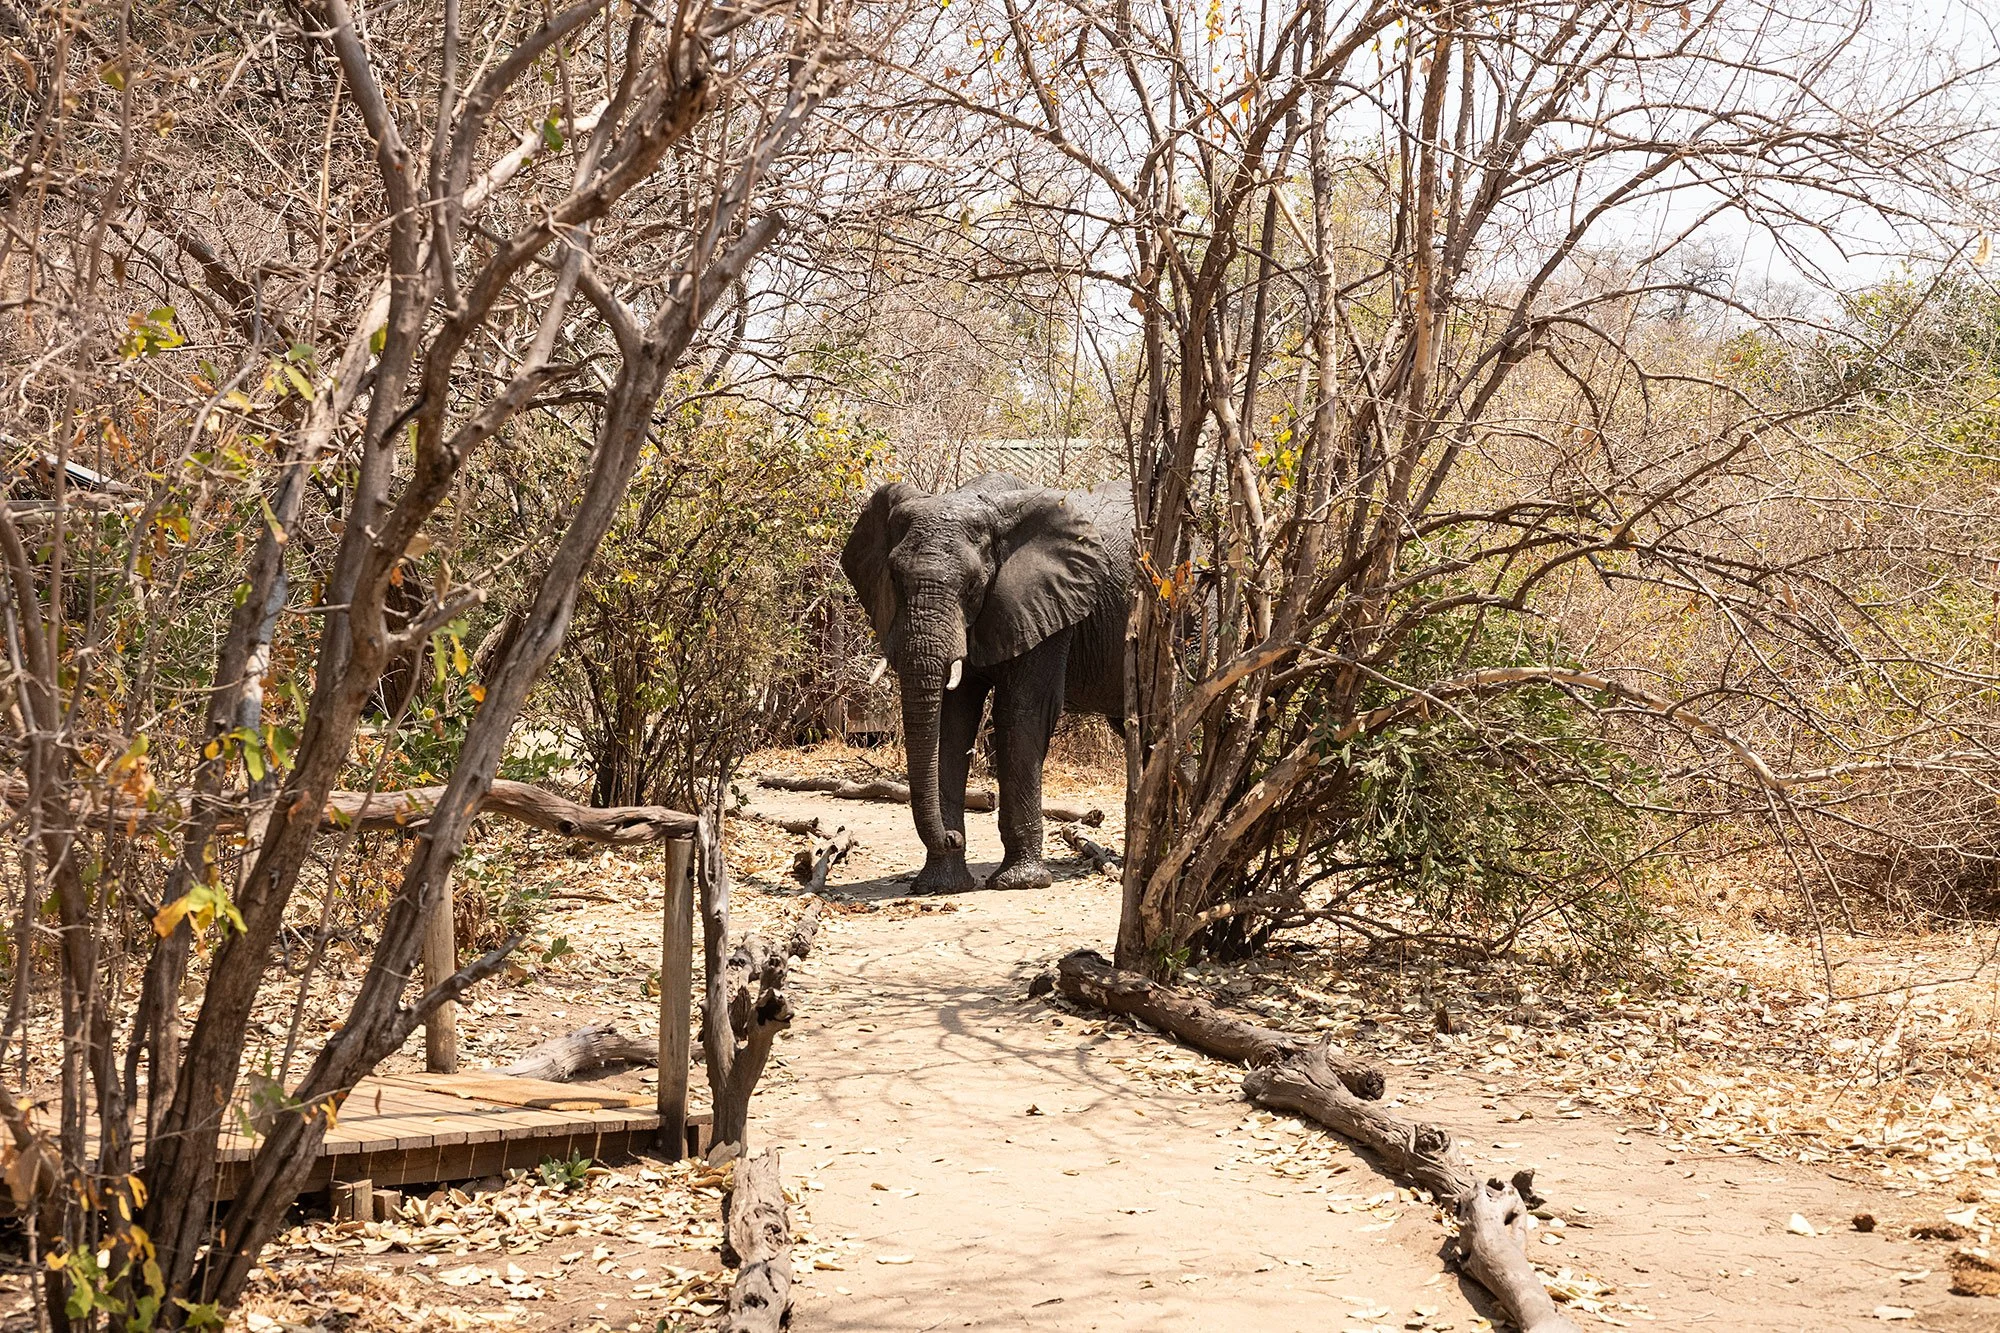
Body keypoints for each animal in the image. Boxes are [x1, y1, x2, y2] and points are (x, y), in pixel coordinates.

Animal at [841, 473, 1135, 894]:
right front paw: (940, 886)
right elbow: (951, 721)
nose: (952, 837)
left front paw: (1021, 883)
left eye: (971, 586)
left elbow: (1021, 713)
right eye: (894, 580)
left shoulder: (1047, 604)